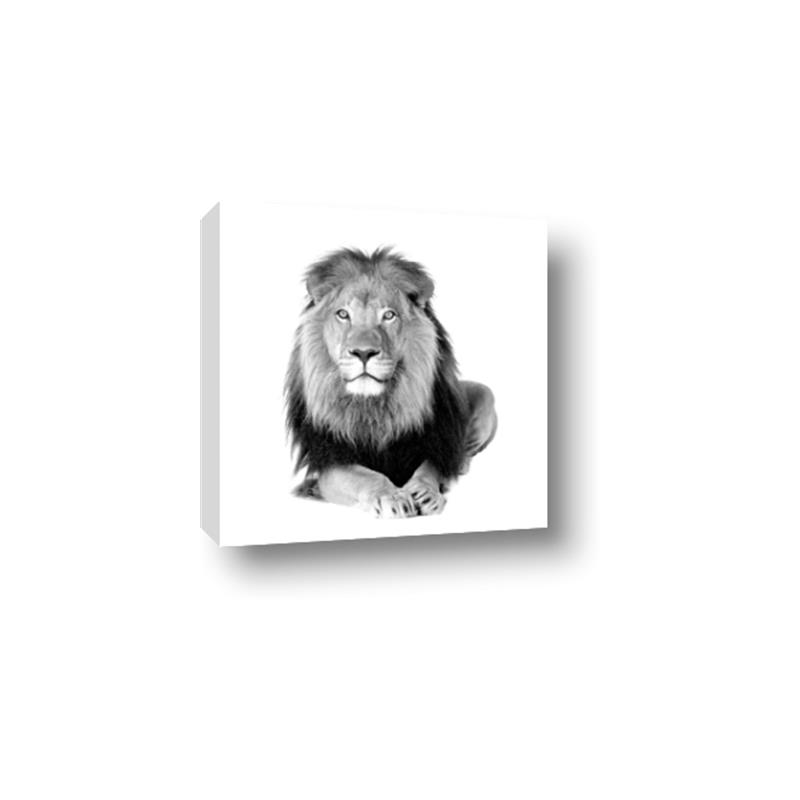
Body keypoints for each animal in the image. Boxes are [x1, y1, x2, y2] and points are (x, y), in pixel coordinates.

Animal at [285, 247, 497, 518]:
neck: (375, 406)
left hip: (485, 395)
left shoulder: (433, 444)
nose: (363, 353)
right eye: (343, 314)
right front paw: (392, 496)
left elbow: (428, 469)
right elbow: (367, 477)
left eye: (389, 315)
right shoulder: (332, 460)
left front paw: (425, 493)